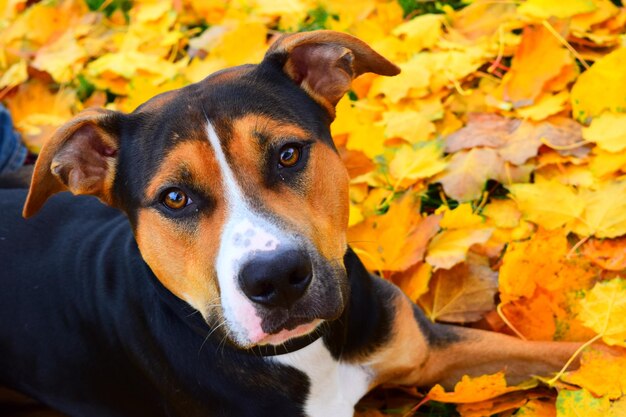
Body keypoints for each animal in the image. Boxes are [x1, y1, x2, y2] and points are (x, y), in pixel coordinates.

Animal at [0, 30, 580, 416]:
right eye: (174, 198)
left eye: (287, 154)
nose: (275, 278)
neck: (307, 354)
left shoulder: (429, 349)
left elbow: (573, 353)